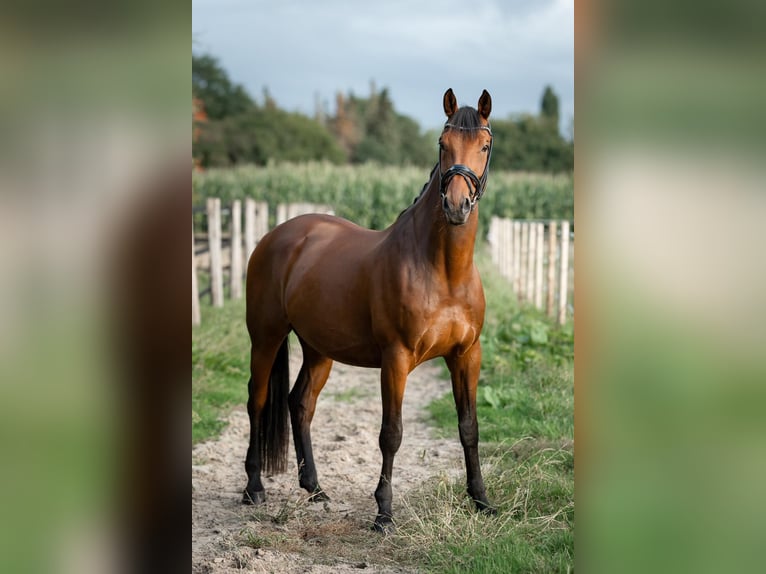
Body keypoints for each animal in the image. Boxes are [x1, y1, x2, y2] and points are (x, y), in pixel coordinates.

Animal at [246, 88, 498, 532]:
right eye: (442, 144)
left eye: (484, 146)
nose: (456, 206)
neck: (443, 270)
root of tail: (277, 236)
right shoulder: (395, 359)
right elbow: (391, 433)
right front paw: (383, 513)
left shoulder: (467, 355)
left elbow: (469, 427)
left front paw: (481, 500)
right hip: (265, 337)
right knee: (257, 400)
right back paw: (254, 487)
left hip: (318, 349)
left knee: (300, 403)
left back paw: (315, 489)